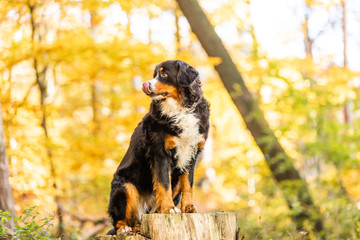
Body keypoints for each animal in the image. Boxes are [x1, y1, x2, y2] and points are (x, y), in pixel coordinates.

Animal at [105, 59, 210, 234]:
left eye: (164, 74)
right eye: (155, 74)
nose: (145, 84)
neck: (181, 109)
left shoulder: (192, 153)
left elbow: (188, 184)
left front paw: (188, 207)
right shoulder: (160, 152)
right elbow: (163, 183)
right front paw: (169, 209)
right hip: (125, 187)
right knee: (120, 221)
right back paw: (125, 229)